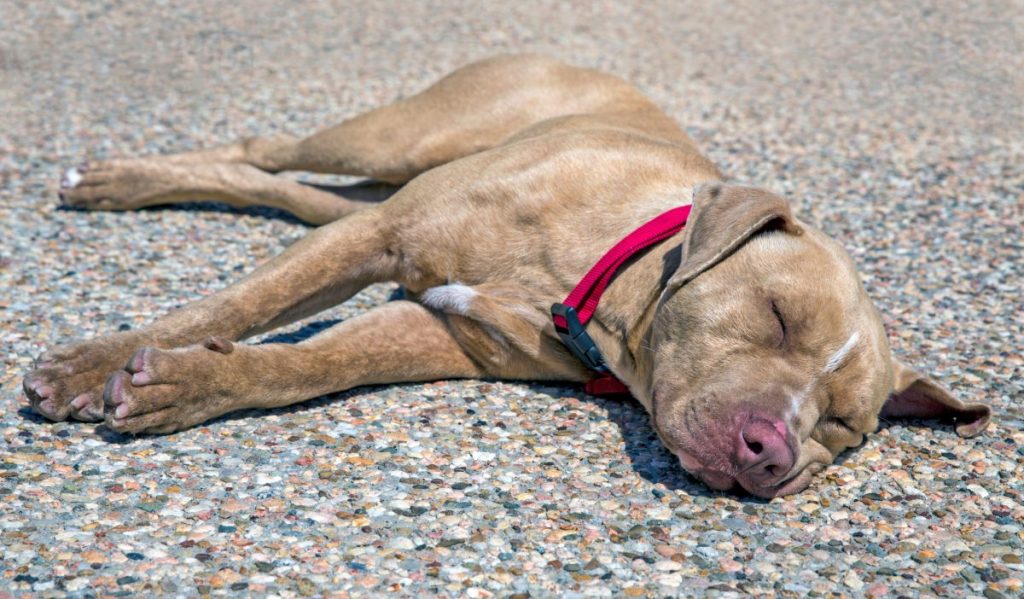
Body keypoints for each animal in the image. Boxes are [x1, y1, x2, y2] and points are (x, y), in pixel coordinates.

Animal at [19, 54, 987, 495]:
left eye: (843, 426)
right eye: (777, 314)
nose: (773, 453)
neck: (597, 288)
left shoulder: (439, 327)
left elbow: (315, 362)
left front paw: (193, 383)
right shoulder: (384, 235)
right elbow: (242, 301)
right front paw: (91, 364)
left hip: (371, 188)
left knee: (286, 189)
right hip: (395, 141)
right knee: (268, 148)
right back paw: (114, 179)